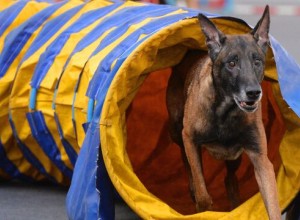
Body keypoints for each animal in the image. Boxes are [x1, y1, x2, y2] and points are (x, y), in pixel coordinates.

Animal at [166, 5, 282, 220]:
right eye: (231, 63)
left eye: (257, 62)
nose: (254, 93)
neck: (226, 112)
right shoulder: (190, 138)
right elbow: (202, 192)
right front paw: (202, 206)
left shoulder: (261, 159)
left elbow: (272, 204)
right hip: (176, 130)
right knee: (186, 160)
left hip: (234, 157)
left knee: (229, 179)